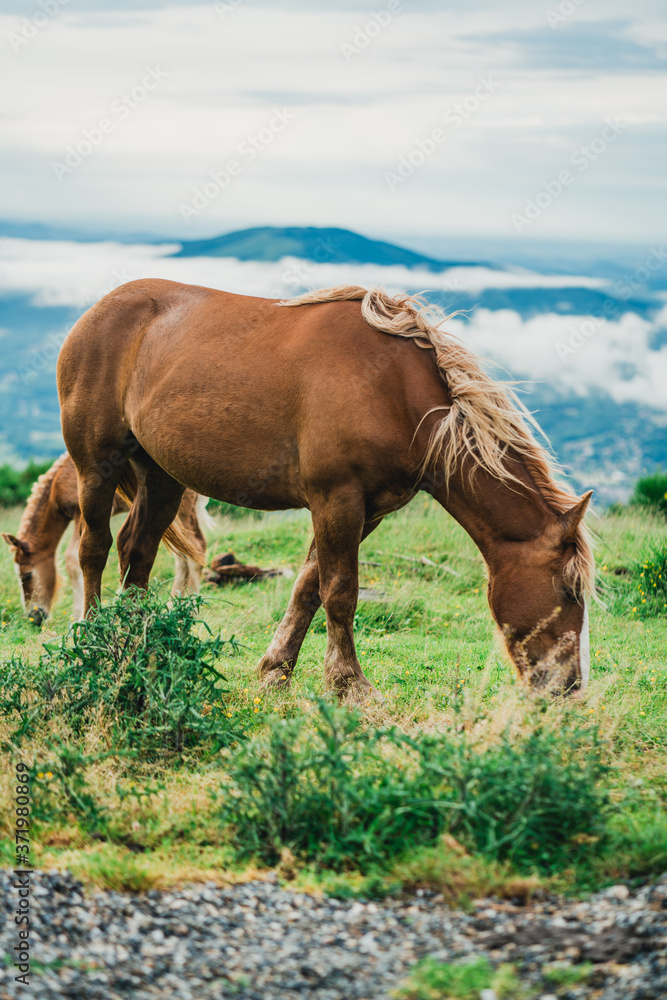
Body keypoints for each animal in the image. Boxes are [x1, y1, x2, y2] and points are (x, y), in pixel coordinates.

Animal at [2, 452, 209, 622]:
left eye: (27, 575)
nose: (34, 616)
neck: (59, 482)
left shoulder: (80, 513)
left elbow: (72, 559)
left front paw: (77, 620)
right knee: (183, 556)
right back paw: (175, 608)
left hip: (182, 509)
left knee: (197, 548)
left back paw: (191, 610)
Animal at [56, 280, 595, 700]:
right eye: (570, 591)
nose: (568, 687)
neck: (394, 389)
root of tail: (96, 312)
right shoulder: (336, 499)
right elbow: (340, 592)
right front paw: (349, 684)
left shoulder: (366, 510)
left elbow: (308, 586)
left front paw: (276, 671)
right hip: (97, 465)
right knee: (94, 548)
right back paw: (92, 641)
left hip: (163, 478)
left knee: (137, 550)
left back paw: (134, 645)